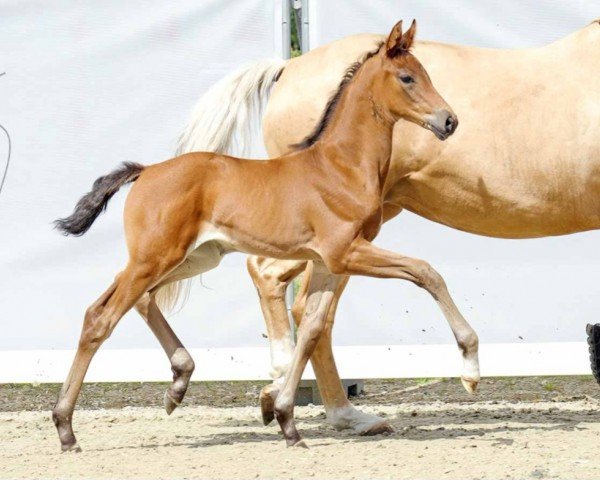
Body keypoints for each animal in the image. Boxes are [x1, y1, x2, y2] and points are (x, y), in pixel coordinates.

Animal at [54, 21, 460, 450]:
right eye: (407, 78)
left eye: (426, 73)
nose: (449, 121)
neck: (340, 167)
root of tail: (145, 171)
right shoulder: (345, 252)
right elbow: (425, 271)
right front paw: (470, 360)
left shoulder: (328, 261)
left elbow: (312, 328)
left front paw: (287, 422)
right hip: (155, 259)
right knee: (101, 318)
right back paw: (66, 429)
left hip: (191, 258)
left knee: (130, 301)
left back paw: (178, 384)